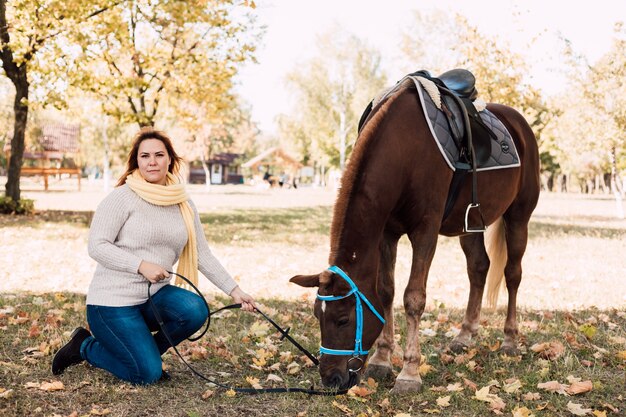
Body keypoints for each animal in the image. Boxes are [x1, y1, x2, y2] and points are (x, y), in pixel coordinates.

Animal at [290, 83, 540, 390]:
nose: (330, 378)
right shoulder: (387, 232)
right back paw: (465, 334)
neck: (403, 150)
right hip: (470, 224)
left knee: (512, 274)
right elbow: (386, 291)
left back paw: (510, 339)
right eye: (317, 314)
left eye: (343, 320)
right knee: (478, 268)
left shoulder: (425, 231)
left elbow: (413, 298)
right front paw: (382, 359)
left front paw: (409, 372)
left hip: (518, 217)